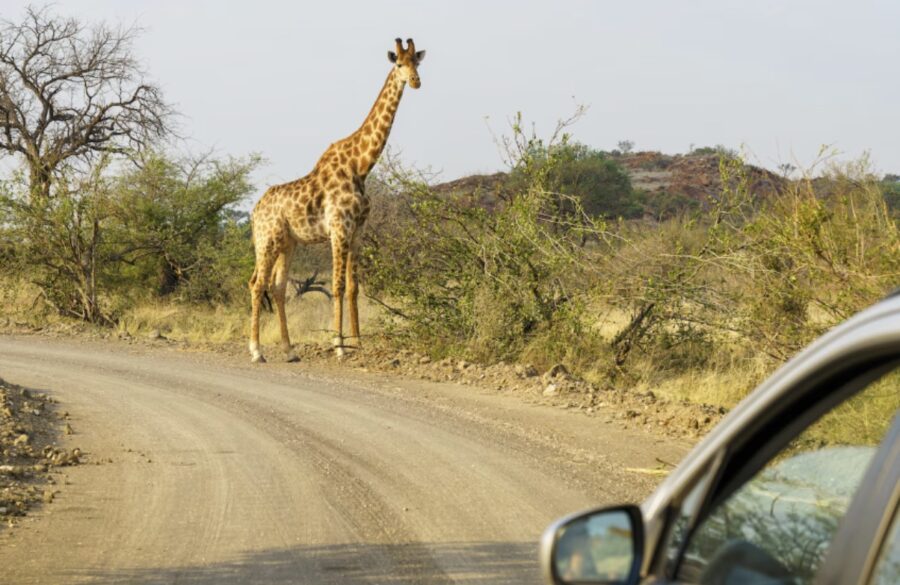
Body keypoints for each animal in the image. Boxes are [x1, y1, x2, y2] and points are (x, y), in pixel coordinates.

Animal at [248, 38, 426, 363]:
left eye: (417, 63)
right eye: (398, 64)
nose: (416, 81)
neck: (361, 166)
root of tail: (254, 213)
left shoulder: (357, 231)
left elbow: (354, 287)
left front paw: (358, 342)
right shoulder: (339, 229)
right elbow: (338, 285)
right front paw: (340, 345)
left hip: (288, 243)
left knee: (277, 287)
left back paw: (290, 350)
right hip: (267, 241)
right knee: (257, 284)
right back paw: (256, 351)